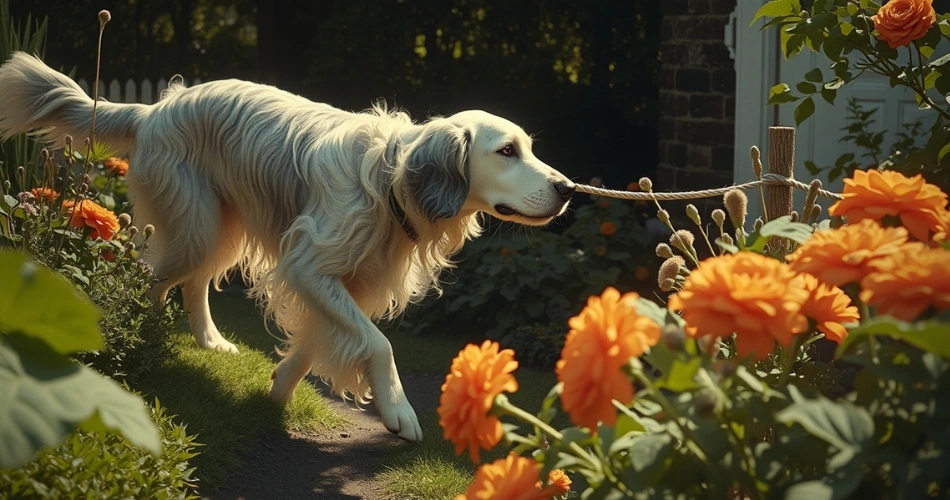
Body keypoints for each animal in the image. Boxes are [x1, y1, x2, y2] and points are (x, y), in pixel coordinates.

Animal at [0, 52, 572, 440]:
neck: (389, 181)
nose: (568, 189)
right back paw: (145, 336)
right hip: (197, 229)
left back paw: (209, 341)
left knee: (190, 285)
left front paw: (276, 392)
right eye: (506, 151)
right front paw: (398, 411)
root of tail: (154, 109)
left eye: (529, 148)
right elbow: (378, 345)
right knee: (151, 277)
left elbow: (316, 344)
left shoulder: (343, 285)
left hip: (219, 231)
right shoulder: (309, 266)